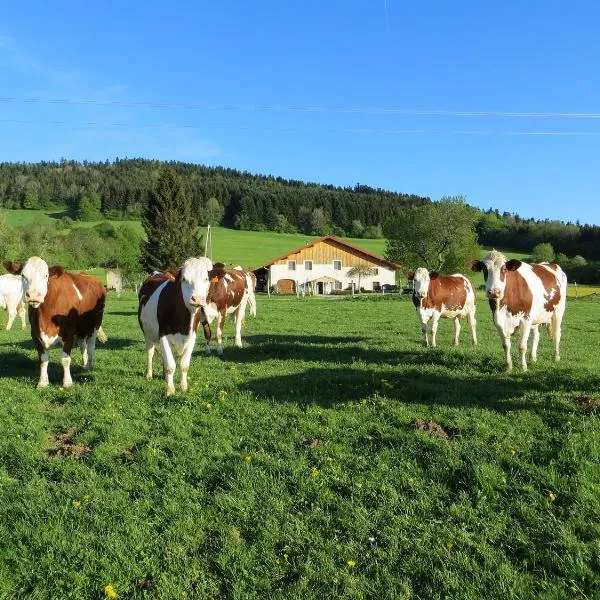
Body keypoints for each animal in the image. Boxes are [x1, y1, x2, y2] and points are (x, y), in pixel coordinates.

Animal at [2, 258, 106, 390]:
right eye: (23, 275)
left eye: (46, 275)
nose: (33, 295)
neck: (46, 317)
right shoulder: (35, 334)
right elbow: (43, 360)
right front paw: (42, 382)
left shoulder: (68, 333)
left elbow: (65, 359)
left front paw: (67, 382)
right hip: (80, 331)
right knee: (83, 346)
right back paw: (84, 364)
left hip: (94, 325)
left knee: (91, 347)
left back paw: (89, 366)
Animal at [137, 255, 212, 396]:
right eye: (184, 279)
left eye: (206, 279)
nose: (198, 299)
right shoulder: (163, 335)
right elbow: (171, 365)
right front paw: (170, 390)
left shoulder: (192, 337)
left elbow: (184, 365)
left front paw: (183, 387)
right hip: (148, 335)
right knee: (150, 353)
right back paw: (149, 374)